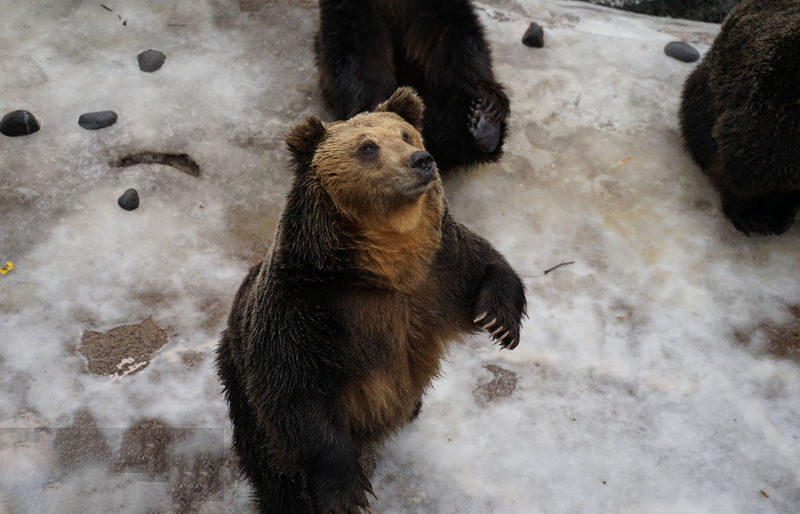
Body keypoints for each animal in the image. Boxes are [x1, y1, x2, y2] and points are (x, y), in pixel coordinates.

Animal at [216, 87, 526, 513]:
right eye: (367, 147)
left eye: (406, 134)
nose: (421, 160)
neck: (384, 266)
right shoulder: (307, 307)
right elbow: (294, 396)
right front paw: (346, 492)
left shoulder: (439, 269)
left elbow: (489, 264)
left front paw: (499, 322)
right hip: (237, 378)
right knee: (272, 468)